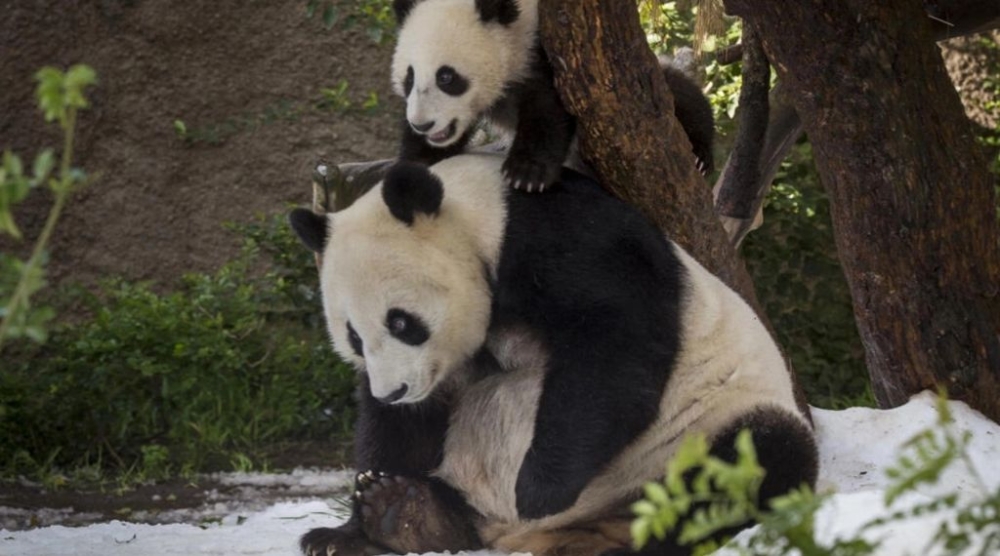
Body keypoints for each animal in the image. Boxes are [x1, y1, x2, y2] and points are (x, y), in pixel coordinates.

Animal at [289, 153, 817, 556]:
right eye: (354, 337)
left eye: (401, 322)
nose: (394, 390)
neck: (480, 218)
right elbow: (405, 426)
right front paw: (355, 518)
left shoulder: (573, 243)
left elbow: (614, 349)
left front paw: (539, 490)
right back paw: (409, 514)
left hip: (699, 431)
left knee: (759, 460)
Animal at [391, 0, 716, 192]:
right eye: (410, 77)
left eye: (446, 77)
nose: (422, 124)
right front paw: (417, 159)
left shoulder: (547, 51)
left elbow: (549, 109)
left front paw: (527, 173)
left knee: (681, 95)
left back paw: (700, 158)